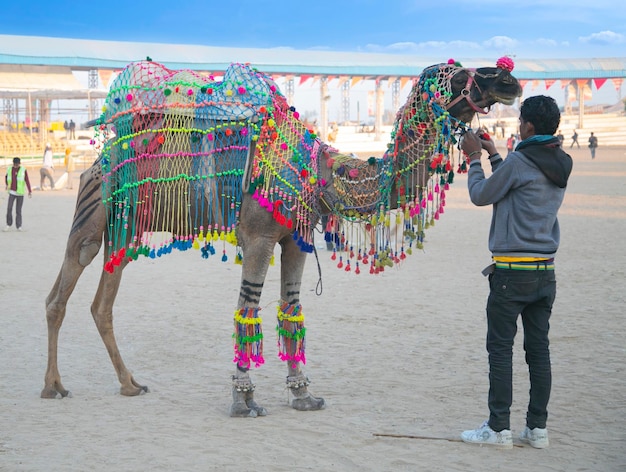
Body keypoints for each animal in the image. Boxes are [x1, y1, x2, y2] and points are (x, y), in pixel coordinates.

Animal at [41, 57, 520, 414]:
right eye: (456, 74)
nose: (509, 78)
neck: (321, 174)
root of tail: (95, 159)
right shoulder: (257, 238)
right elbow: (246, 311)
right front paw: (243, 401)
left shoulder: (296, 240)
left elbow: (292, 311)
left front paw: (304, 395)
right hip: (94, 216)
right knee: (61, 291)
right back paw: (54, 387)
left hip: (127, 229)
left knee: (101, 303)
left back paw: (129, 383)